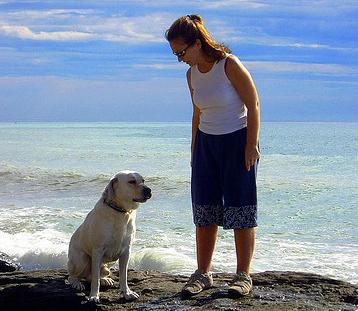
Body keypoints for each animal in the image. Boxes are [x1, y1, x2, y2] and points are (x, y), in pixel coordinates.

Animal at [67, 172, 151, 304]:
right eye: (131, 182)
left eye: (143, 180)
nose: (149, 190)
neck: (121, 212)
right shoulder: (97, 250)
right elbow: (95, 278)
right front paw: (94, 296)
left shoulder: (126, 251)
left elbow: (123, 275)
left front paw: (127, 293)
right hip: (81, 259)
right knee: (74, 275)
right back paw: (76, 282)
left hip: (107, 266)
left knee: (92, 275)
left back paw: (105, 279)